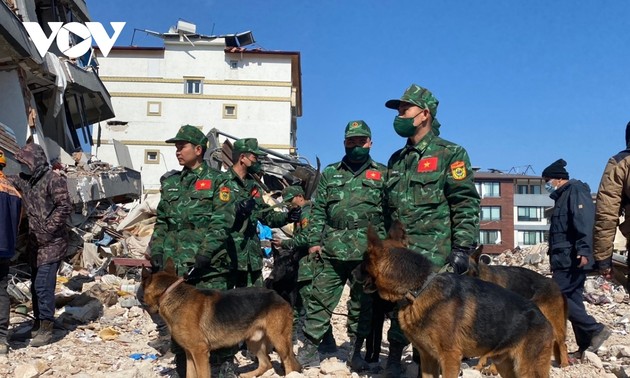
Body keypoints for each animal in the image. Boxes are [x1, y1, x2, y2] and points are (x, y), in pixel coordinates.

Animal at [141, 258, 304, 378]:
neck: (169, 294)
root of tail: (279, 296)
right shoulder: (190, 353)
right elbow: (190, 374)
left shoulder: (200, 352)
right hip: (253, 341)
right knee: (266, 363)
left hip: (279, 340)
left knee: (288, 363)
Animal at [358, 221, 556, 378]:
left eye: (363, 261)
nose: (352, 274)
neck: (418, 290)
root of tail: (542, 316)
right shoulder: (428, 359)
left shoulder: (450, 359)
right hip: (506, 365)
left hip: (527, 369)